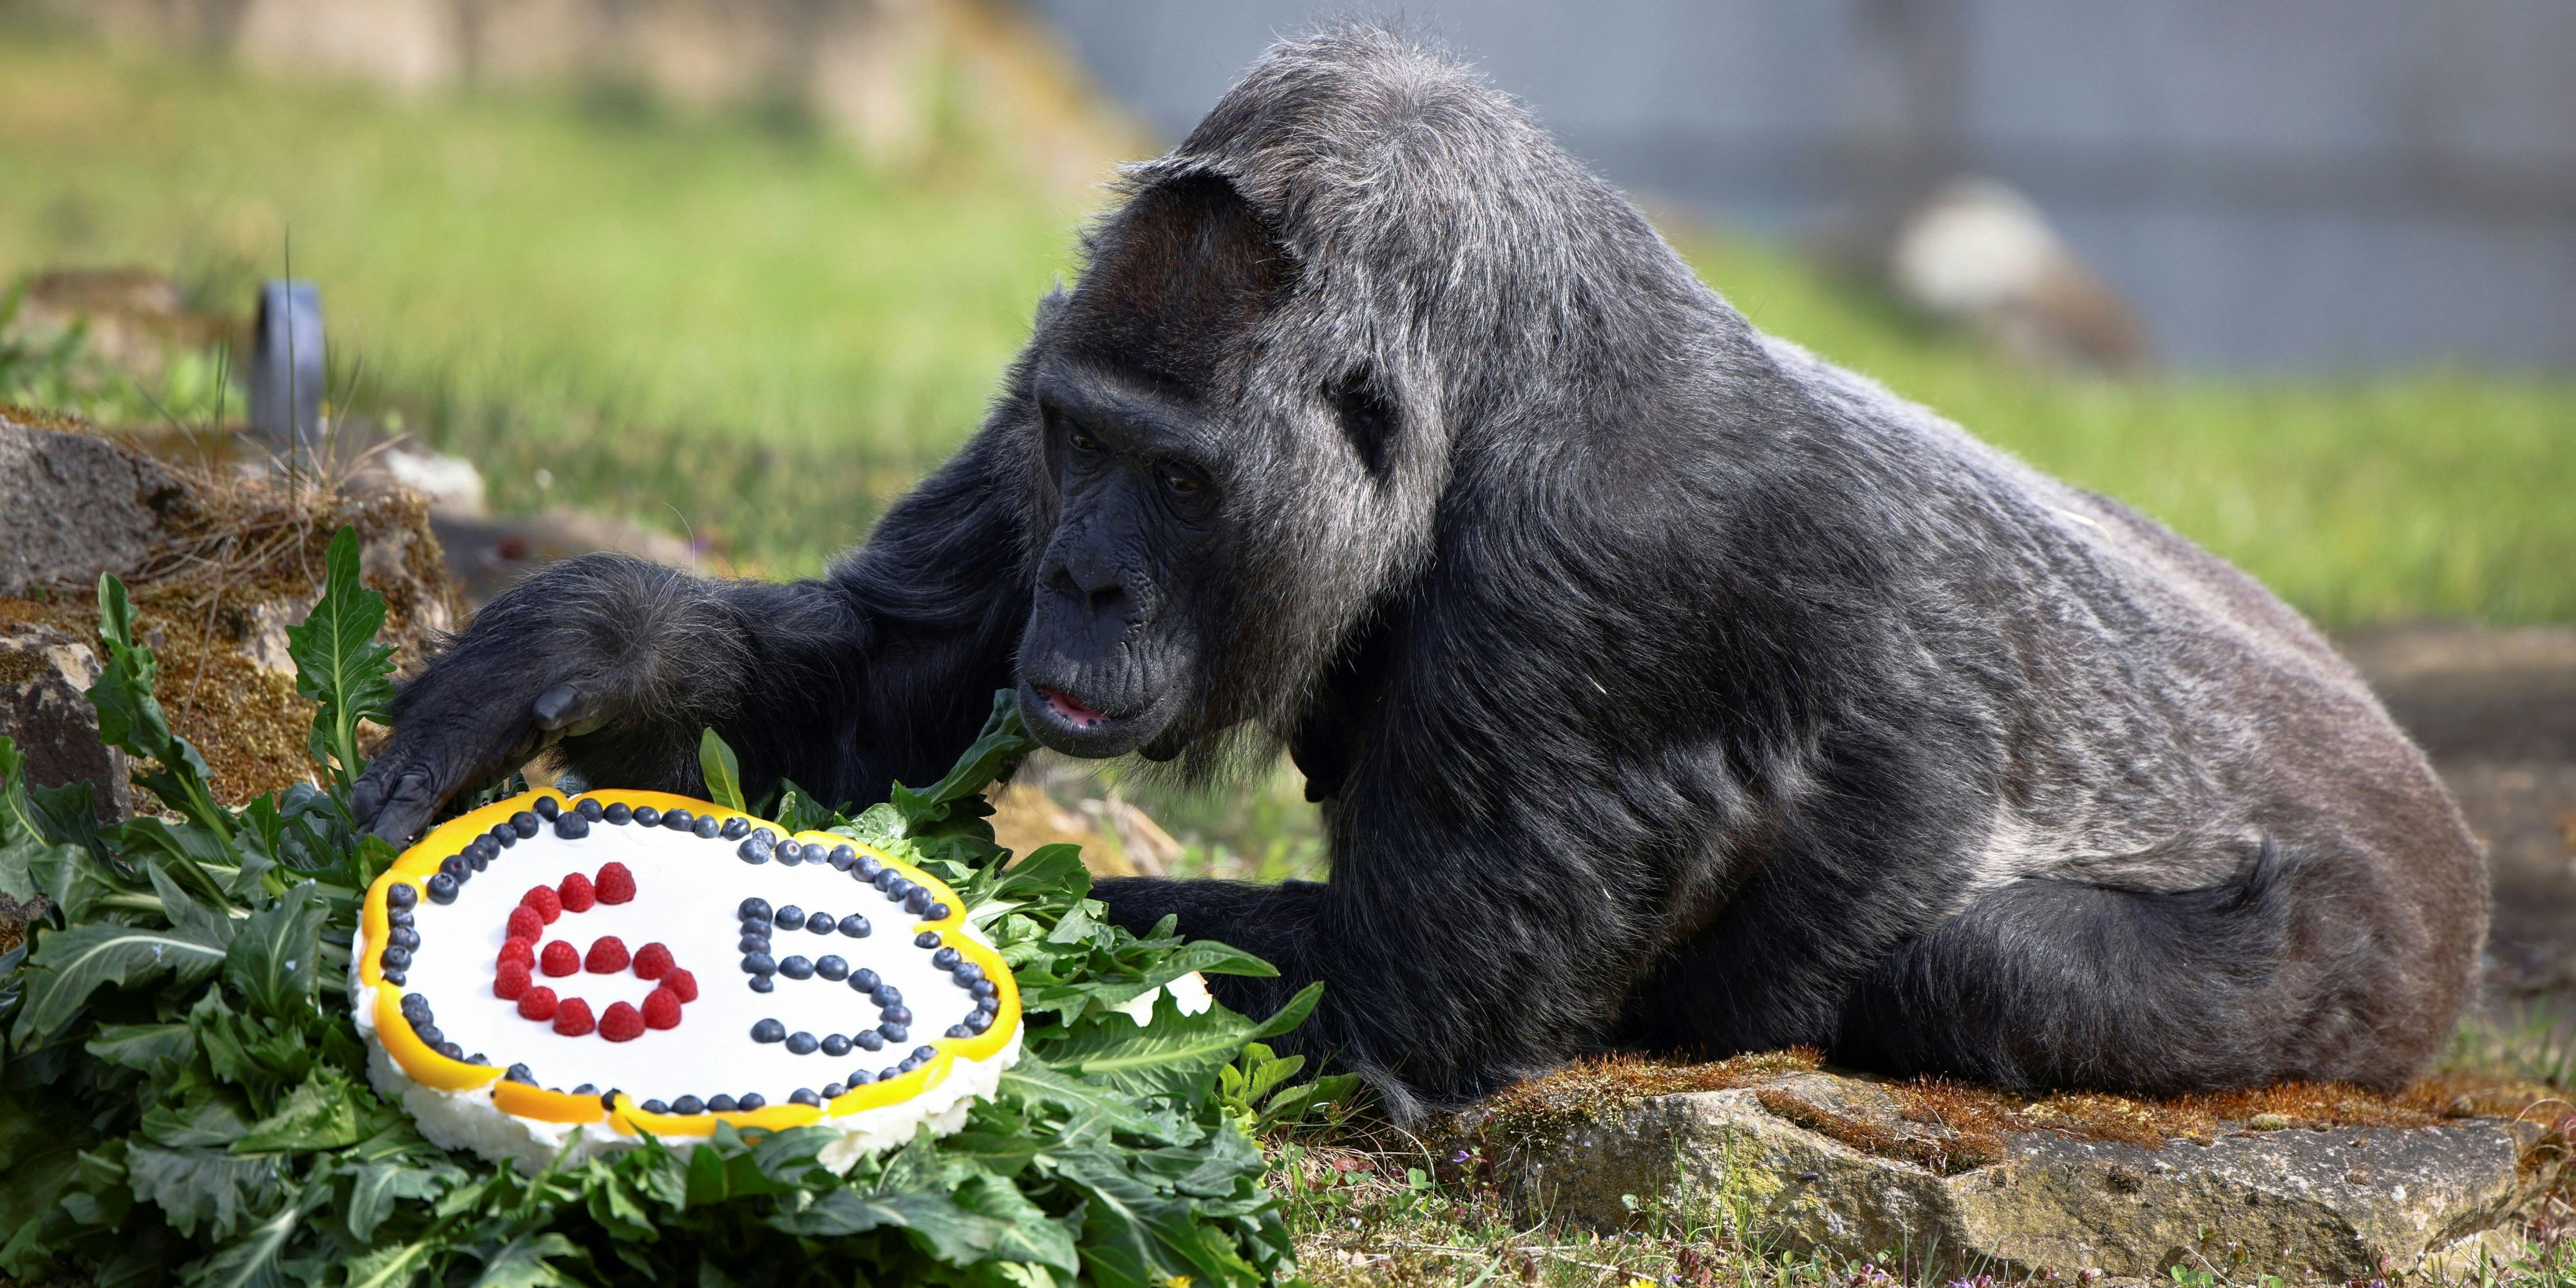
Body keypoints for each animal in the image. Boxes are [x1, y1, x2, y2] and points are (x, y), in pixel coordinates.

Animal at [354, 25, 2485, 1122]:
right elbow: (881, 689)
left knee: (1982, 972)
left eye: (1174, 477)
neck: (1495, 374)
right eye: (1084, 445)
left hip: (2379, 961)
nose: (1088, 586)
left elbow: (1364, 1032)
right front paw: (597, 640)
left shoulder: (1606, 582)